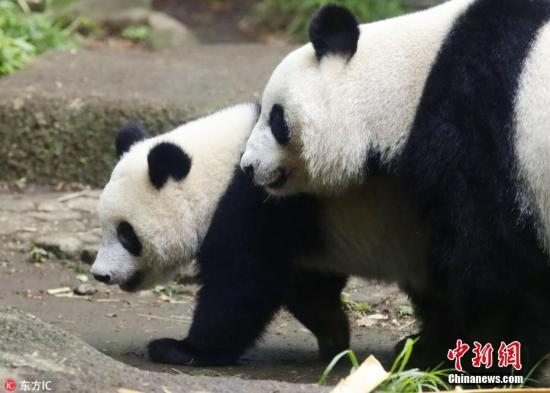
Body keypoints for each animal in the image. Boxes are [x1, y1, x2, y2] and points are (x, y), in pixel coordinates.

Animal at [89, 103, 426, 364]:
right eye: (103, 227)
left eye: (126, 234)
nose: (100, 275)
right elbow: (306, 284)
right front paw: (334, 336)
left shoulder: (263, 202)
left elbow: (242, 281)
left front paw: (184, 349)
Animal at [242, 0, 550, 372]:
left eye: (276, 119)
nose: (248, 166)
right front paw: (425, 346)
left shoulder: (475, 128)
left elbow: (491, 258)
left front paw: (490, 354)